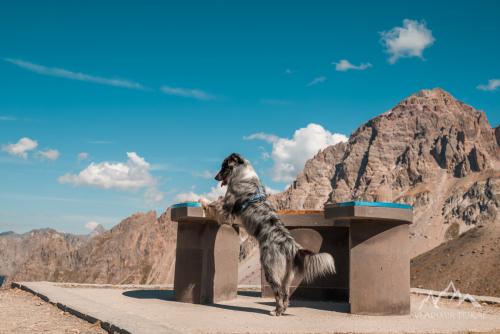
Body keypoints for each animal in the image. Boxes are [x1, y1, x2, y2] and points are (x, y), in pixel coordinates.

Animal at [209, 153, 334, 316]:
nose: (215, 177)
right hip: (288, 275)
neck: (242, 173)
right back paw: (282, 309)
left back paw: (277, 311)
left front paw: (203, 202)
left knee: (278, 291)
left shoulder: (228, 203)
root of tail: (291, 245)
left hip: (270, 268)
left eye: (224, 166)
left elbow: (214, 205)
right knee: (285, 292)